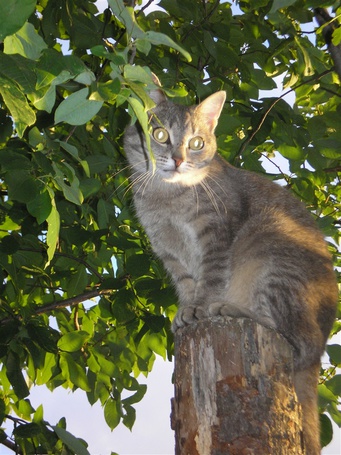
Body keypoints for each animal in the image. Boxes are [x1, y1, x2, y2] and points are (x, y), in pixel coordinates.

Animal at [123, 78, 338, 455]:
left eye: (196, 143)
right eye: (161, 135)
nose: (178, 159)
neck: (166, 198)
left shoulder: (216, 236)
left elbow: (210, 279)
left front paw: (200, 308)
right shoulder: (168, 251)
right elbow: (187, 284)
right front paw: (185, 311)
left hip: (271, 252)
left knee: (294, 336)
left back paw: (230, 308)